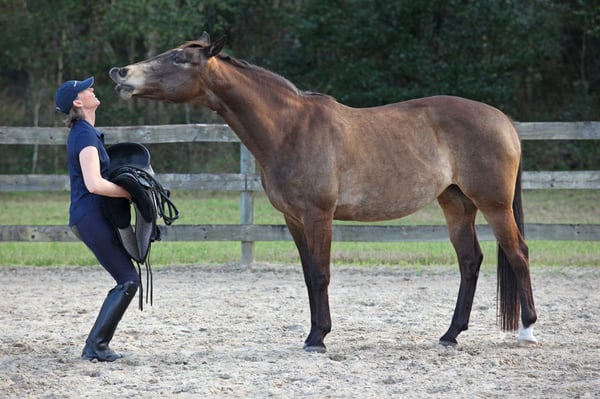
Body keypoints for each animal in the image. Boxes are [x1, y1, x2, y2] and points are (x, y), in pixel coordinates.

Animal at [109, 32, 540, 354]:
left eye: (180, 58)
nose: (121, 73)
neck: (290, 128)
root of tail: (503, 119)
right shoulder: (294, 219)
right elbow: (307, 275)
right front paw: (314, 332)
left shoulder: (319, 215)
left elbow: (321, 273)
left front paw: (318, 338)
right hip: (455, 202)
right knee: (470, 261)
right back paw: (450, 335)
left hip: (494, 204)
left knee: (518, 253)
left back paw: (527, 330)